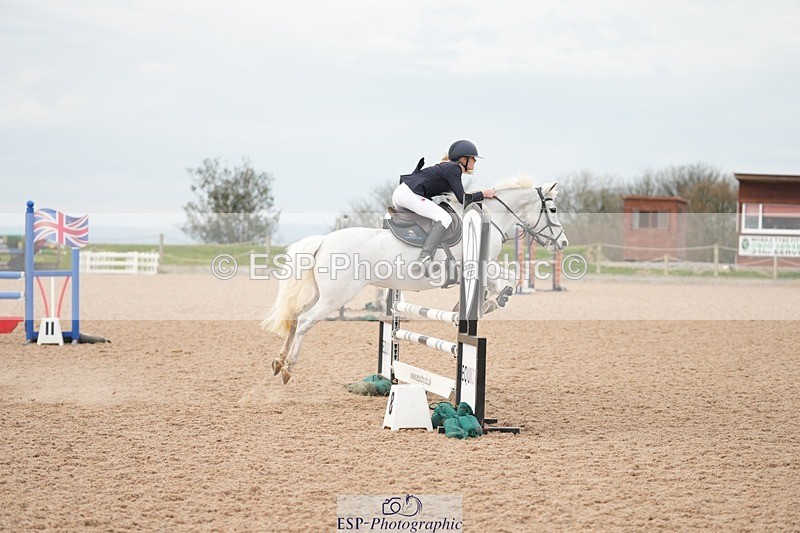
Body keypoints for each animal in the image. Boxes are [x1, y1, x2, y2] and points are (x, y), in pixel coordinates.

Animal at [261, 178, 568, 383]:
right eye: (553, 211)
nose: (563, 242)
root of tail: (324, 241)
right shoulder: (480, 266)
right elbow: (508, 280)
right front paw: (495, 300)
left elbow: (499, 283)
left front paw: (477, 306)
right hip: (336, 297)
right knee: (304, 321)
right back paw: (288, 368)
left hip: (321, 294)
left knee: (295, 316)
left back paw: (278, 361)